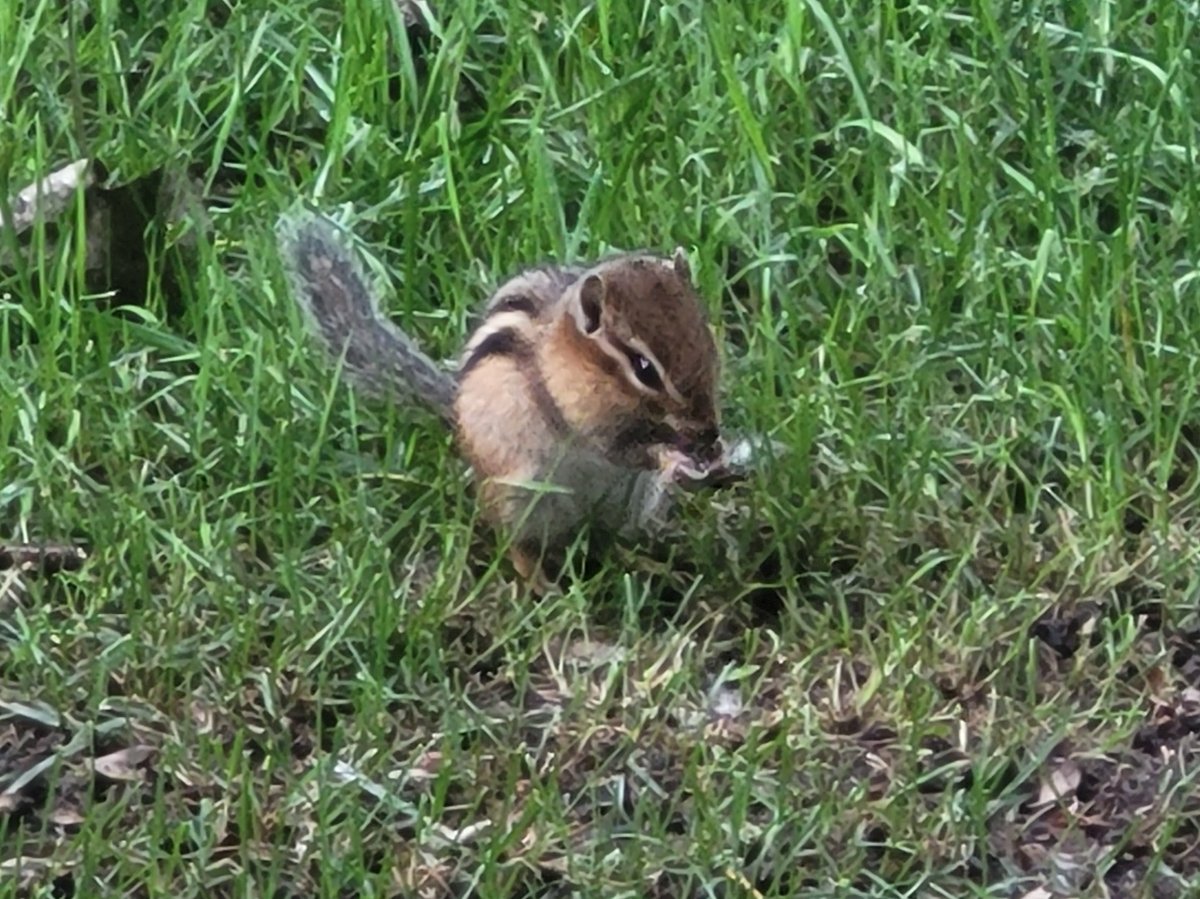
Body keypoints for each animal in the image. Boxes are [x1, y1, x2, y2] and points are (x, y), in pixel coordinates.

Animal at [275, 210, 731, 589]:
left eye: (705, 336)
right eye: (644, 367)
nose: (708, 431)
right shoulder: (579, 413)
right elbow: (619, 447)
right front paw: (672, 454)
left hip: (628, 499)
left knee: (610, 541)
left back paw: (651, 564)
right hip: (520, 496)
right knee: (516, 545)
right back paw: (543, 589)